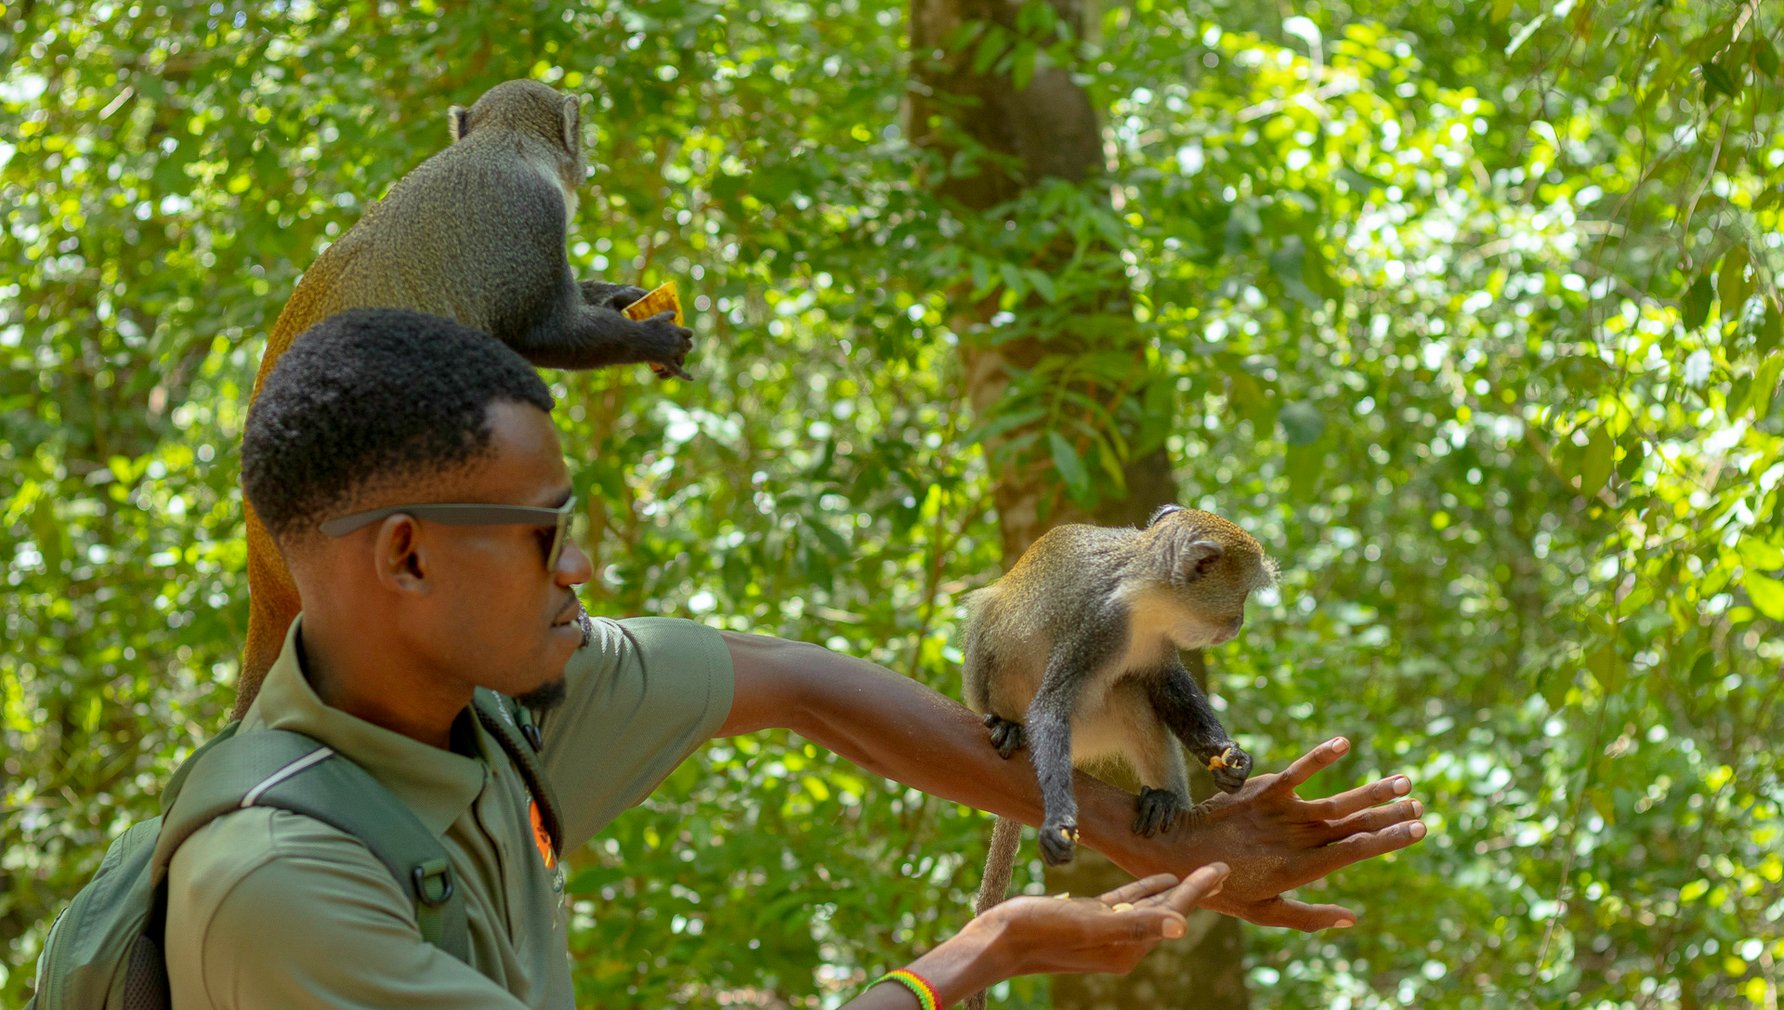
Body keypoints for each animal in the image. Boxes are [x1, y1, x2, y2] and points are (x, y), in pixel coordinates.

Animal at [234, 79, 694, 718]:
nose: (587, 161)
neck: (503, 143)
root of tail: (267, 577)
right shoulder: (531, 217)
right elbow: (542, 331)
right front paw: (649, 338)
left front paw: (619, 294)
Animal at [960, 504, 1275, 967]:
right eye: (1245, 592)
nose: (1238, 623)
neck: (1145, 592)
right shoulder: (1099, 626)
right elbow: (1050, 706)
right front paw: (1058, 821)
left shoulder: (1158, 639)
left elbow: (1164, 682)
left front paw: (1227, 757)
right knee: (988, 611)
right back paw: (1007, 724)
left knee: (1132, 695)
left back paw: (1165, 801)